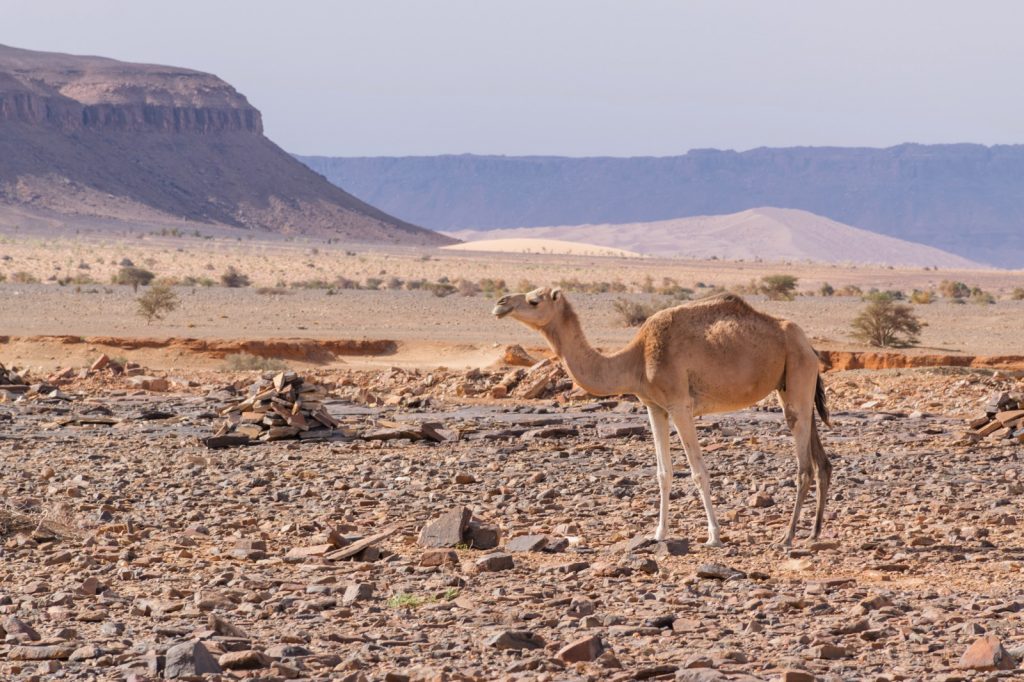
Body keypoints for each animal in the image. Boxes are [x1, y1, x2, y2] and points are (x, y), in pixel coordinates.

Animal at [491, 286, 835, 548]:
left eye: (535, 300)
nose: (500, 303)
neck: (635, 358)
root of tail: (809, 345)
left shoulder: (680, 405)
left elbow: (698, 472)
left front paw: (714, 536)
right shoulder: (653, 406)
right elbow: (663, 473)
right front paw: (658, 533)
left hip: (797, 371)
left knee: (804, 464)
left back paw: (787, 537)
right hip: (790, 384)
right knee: (822, 461)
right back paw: (815, 533)